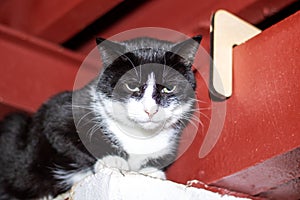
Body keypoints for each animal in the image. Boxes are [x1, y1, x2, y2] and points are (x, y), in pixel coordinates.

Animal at [0, 35, 202, 199]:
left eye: (169, 88)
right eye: (131, 86)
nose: (150, 110)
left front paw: (152, 171)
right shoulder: (57, 114)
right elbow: (65, 138)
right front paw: (112, 159)